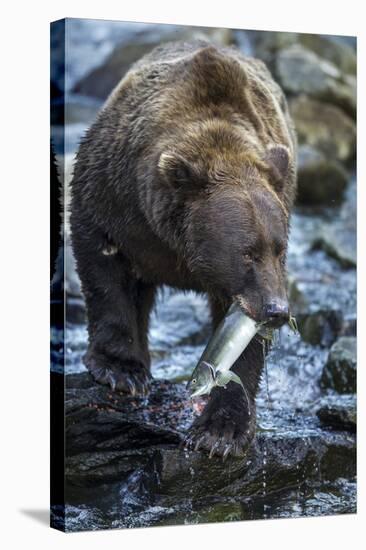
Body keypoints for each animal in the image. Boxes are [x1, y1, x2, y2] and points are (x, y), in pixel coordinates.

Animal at [71, 41, 298, 460]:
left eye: (279, 248)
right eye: (247, 252)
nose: (277, 311)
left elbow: (239, 346)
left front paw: (221, 431)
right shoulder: (115, 196)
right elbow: (102, 265)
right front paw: (120, 370)